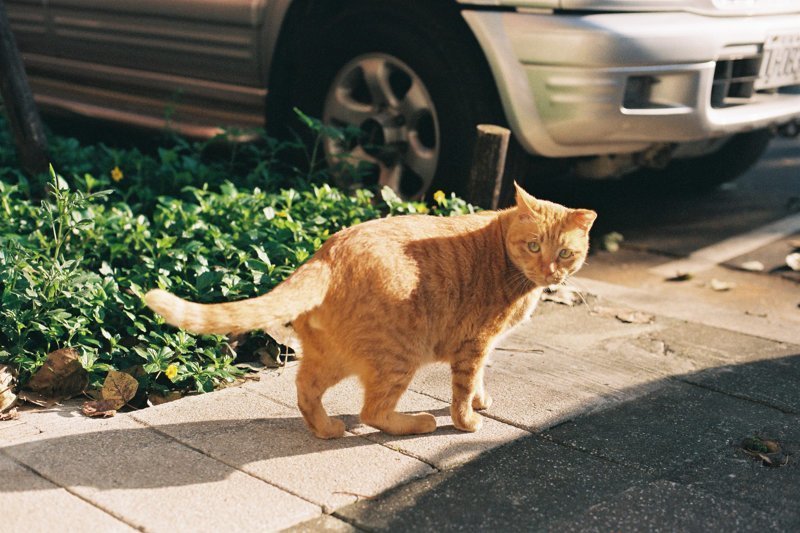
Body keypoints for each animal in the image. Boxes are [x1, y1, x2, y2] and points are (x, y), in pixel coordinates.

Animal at [145, 182, 592, 436]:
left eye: (565, 253)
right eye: (533, 245)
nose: (550, 271)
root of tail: (327, 252)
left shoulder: (484, 346)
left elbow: (479, 379)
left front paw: (482, 401)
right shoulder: (475, 343)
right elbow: (463, 391)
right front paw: (467, 420)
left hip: (332, 357)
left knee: (305, 391)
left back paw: (327, 430)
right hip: (400, 356)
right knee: (373, 411)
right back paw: (417, 423)